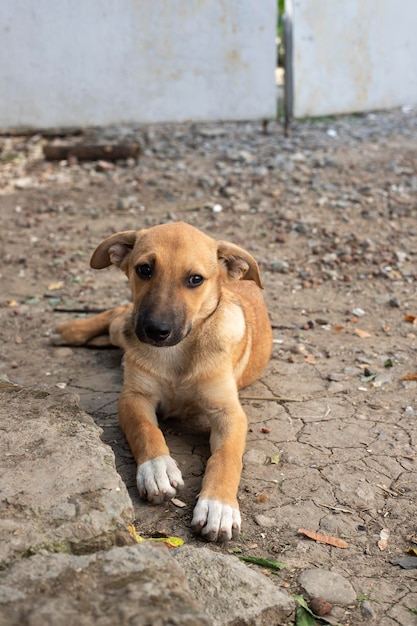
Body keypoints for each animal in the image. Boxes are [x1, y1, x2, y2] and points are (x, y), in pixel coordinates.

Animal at [51, 222, 272, 540]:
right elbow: (146, 430)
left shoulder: (228, 412)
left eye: (195, 279)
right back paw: (69, 330)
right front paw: (156, 470)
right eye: (144, 269)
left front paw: (218, 507)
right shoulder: (133, 397)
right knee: (116, 313)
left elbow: (226, 457)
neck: (176, 354)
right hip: (124, 324)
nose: (156, 331)